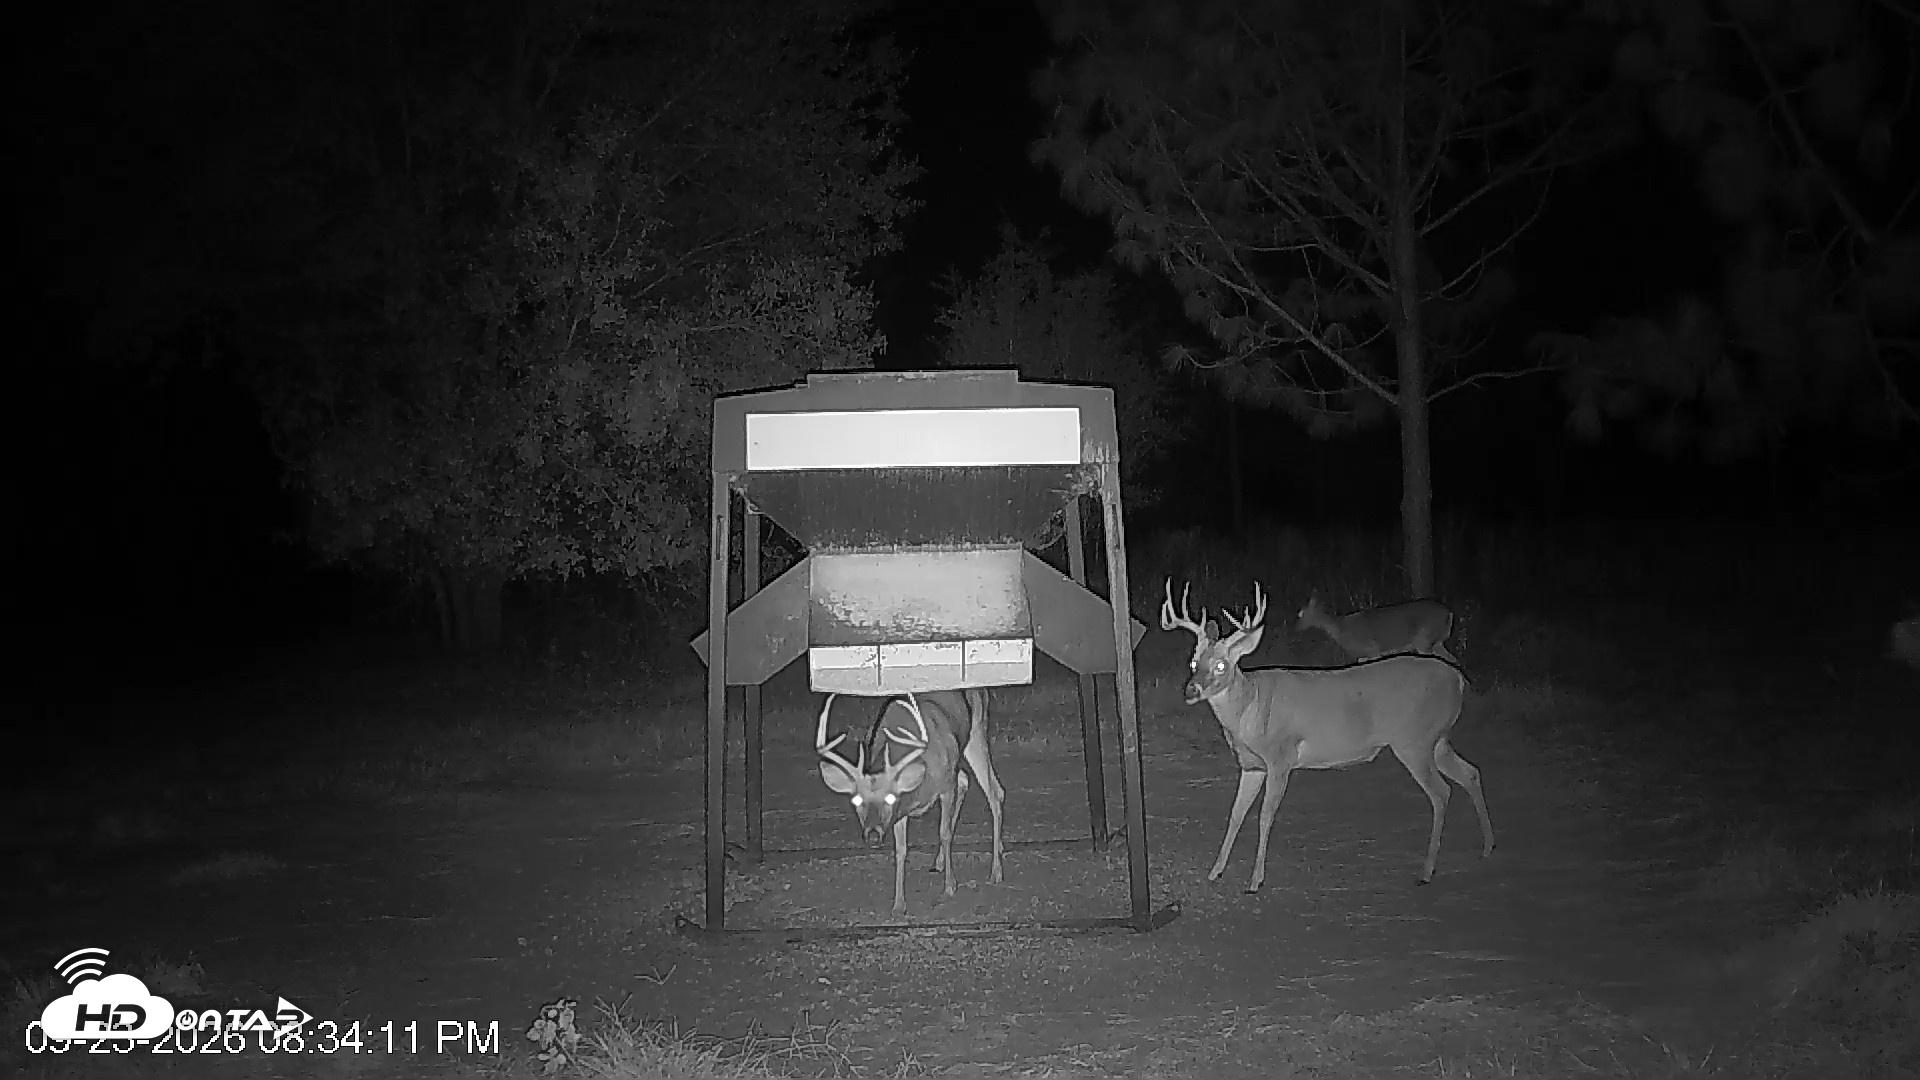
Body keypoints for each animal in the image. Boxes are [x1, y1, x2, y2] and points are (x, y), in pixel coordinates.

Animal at [815, 689, 1006, 915]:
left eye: (890, 798)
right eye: (857, 800)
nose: (872, 834)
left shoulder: (945, 784)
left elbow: (944, 833)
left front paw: (950, 886)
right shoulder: (901, 813)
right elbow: (901, 850)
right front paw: (899, 905)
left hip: (977, 731)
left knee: (995, 792)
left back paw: (996, 872)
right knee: (965, 780)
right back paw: (940, 862)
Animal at [1297, 594, 1458, 663]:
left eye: (1301, 613)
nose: (1296, 627)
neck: (1342, 629)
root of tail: (1449, 613)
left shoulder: (1372, 648)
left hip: (1423, 638)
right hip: (1437, 642)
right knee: (1453, 660)